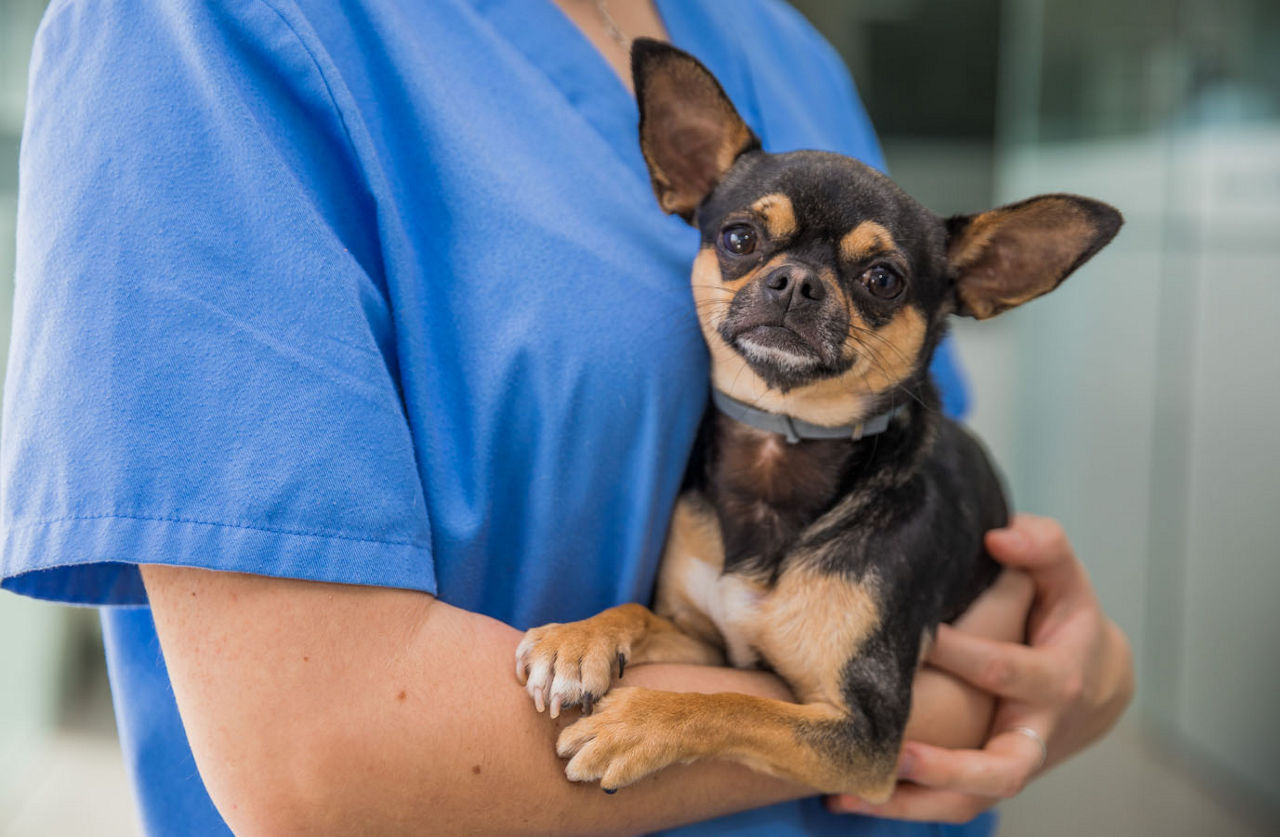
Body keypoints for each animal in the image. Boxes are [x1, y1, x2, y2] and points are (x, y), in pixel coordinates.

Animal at [512, 40, 1121, 808]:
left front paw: (640, 721)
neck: (783, 440)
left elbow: (735, 706)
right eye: (739, 237)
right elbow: (641, 615)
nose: (797, 280)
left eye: (884, 279)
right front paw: (580, 639)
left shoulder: (863, 735)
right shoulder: (709, 640)